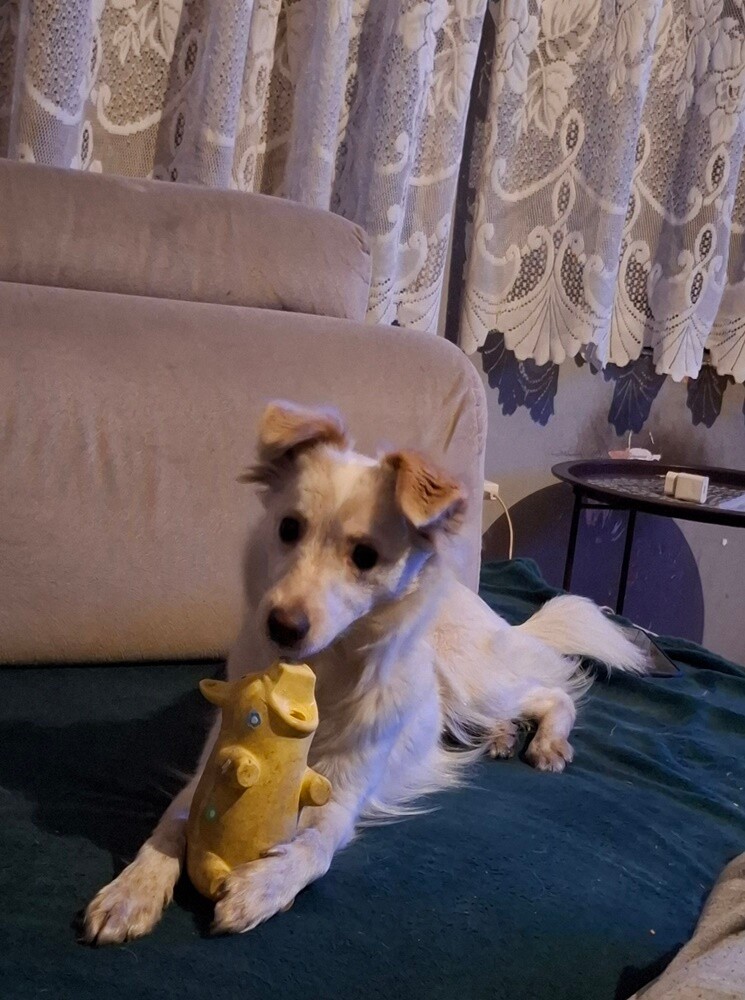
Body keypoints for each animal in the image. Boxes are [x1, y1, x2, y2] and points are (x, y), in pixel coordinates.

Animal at [83, 401, 648, 943]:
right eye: (289, 528)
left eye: (365, 556)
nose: (281, 625)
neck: (320, 672)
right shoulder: (210, 767)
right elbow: (170, 823)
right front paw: (132, 891)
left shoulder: (343, 794)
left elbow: (314, 846)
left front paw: (263, 888)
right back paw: (505, 736)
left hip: (471, 680)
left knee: (552, 692)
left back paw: (547, 742)